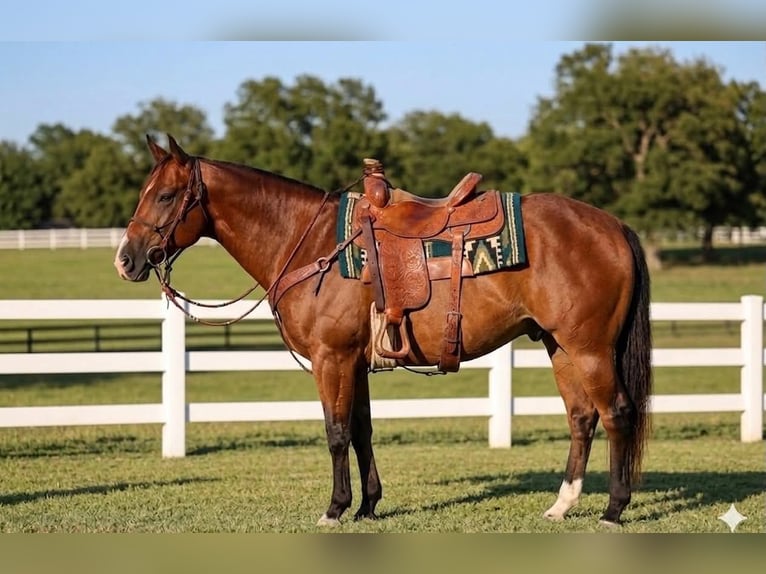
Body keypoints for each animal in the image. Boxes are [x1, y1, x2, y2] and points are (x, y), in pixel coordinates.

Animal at [114, 134, 652, 527]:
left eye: (165, 195)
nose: (125, 260)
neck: (309, 242)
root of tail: (616, 227)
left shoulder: (331, 358)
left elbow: (335, 433)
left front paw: (335, 508)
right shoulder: (355, 361)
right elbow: (361, 431)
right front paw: (368, 505)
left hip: (590, 348)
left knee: (617, 413)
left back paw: (613, 510)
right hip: (559, 346)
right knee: (581, 418)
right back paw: (562, 505)